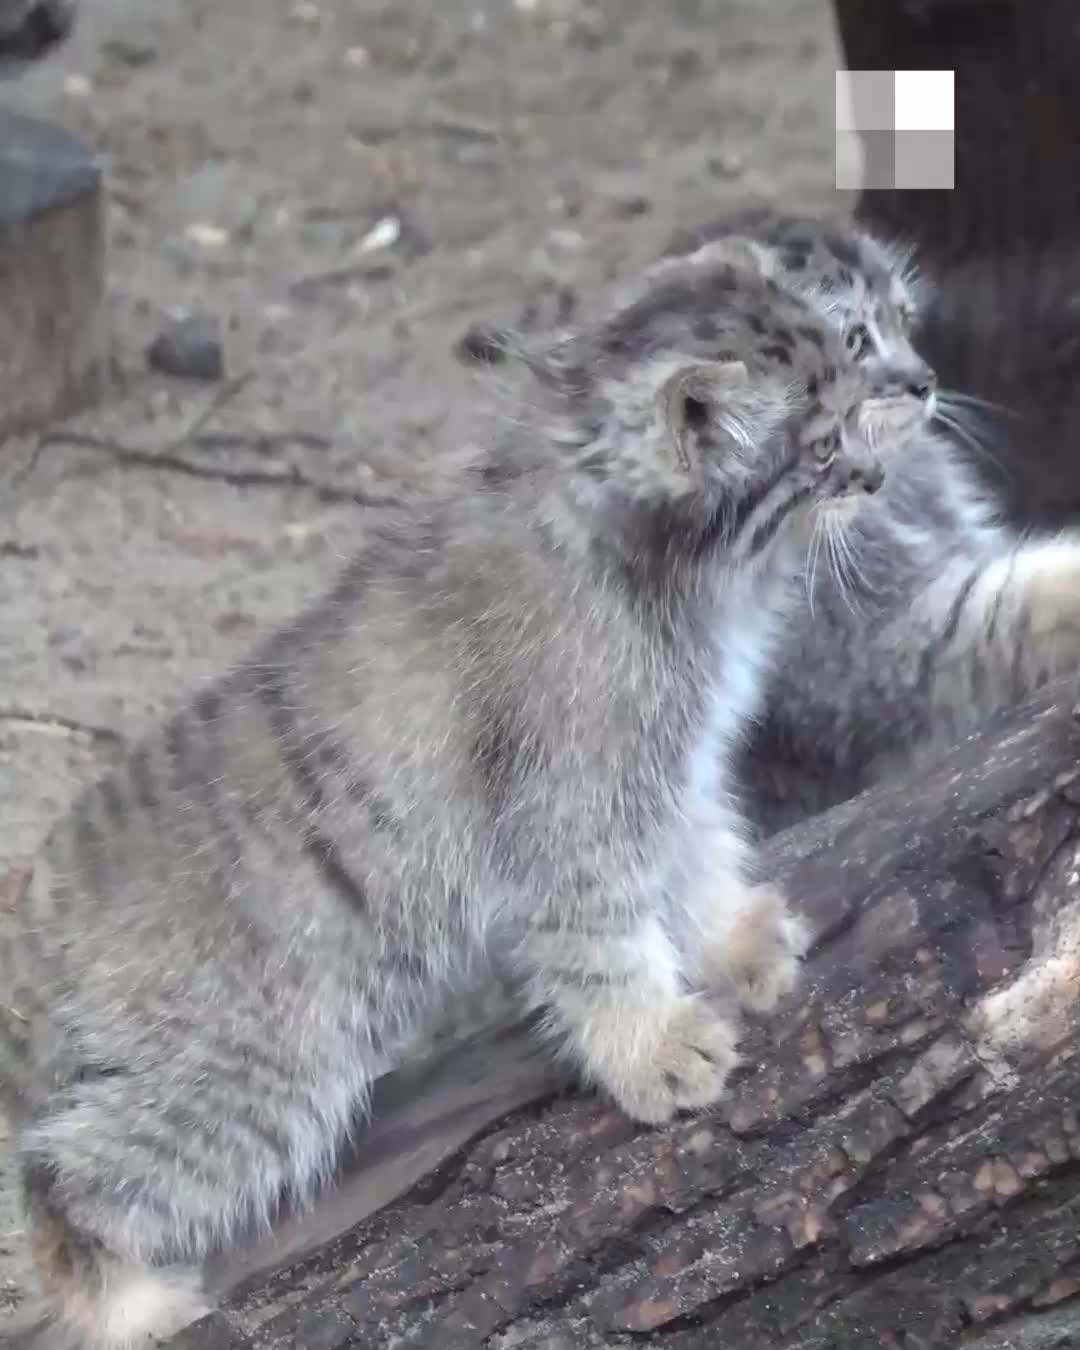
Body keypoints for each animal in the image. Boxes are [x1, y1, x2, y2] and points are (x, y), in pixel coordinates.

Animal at [0, 243, 928, 1350]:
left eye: (861, 400)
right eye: (823, 442)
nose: (878, 476)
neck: (662, 567)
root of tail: (38, 915)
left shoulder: (674, 766)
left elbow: (698, 856)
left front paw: (735, 942)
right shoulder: (578, 805)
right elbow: (604, 944)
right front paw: (652, 1047)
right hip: (264, 1078)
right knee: (61, 1177)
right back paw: (122, 1305)